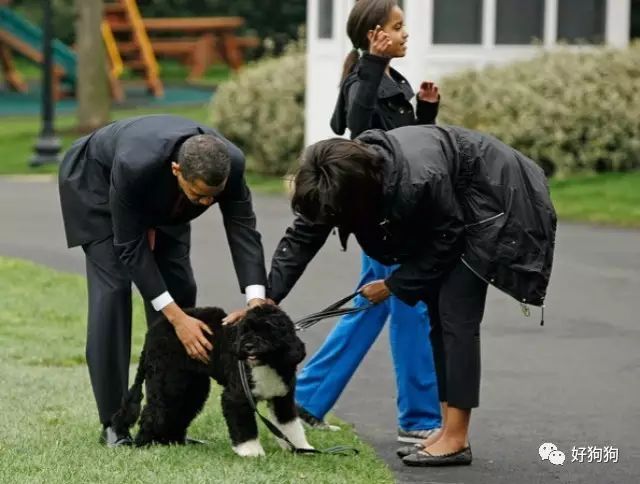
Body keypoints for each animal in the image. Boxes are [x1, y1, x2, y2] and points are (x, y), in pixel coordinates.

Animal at [113, 304, 318, 456]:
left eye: (267, 329)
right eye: (245, 330)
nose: (247, 346)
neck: (267, 363)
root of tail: (152, 332)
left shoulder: (282, 398)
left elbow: (290, 425)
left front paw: (302, 448)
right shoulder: (236, 397)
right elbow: (243, 425)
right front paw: (251, 452)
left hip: (192, 385)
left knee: (179, 410)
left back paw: (172, 442)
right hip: (167, 380)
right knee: (154, 412)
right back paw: (143, 444)